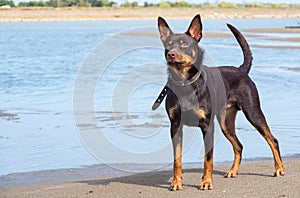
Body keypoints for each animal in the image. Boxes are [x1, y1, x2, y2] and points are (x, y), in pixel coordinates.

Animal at [154, 13, 284, 190]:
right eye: (168, 45)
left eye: (184, 44)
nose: (171, 54)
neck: (185, 83)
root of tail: (241, 70)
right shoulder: (175, 125)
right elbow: (177, 159)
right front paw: (176, 183)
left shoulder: (207, 125)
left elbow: (208, 158)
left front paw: (206, 182)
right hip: (225, 122)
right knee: (239, 145)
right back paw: (232, 171)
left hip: (253, 112)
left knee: (272, 140)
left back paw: (279, 169)